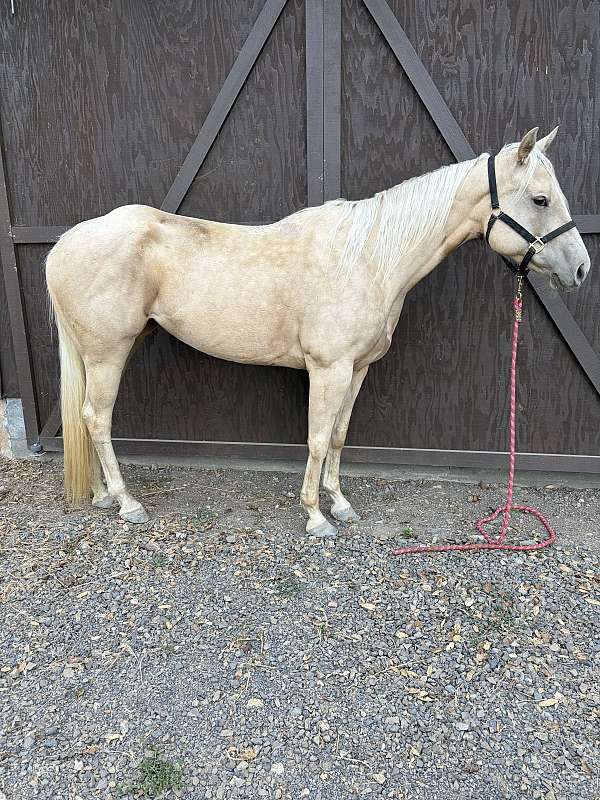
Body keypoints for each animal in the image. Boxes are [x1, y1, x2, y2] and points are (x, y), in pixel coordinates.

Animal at [46, 127, 590, 538]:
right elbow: (316, 437)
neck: (369, 259)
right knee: (97, 418)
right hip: (108, 353)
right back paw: (126, 502)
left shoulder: (358, 369)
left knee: (85, 418)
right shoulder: (328, 369)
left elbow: (340, 436)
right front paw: (315, 516)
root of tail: (64, 243)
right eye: (540, 198)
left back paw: (100, 496)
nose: (581, 269)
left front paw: (340, 503)